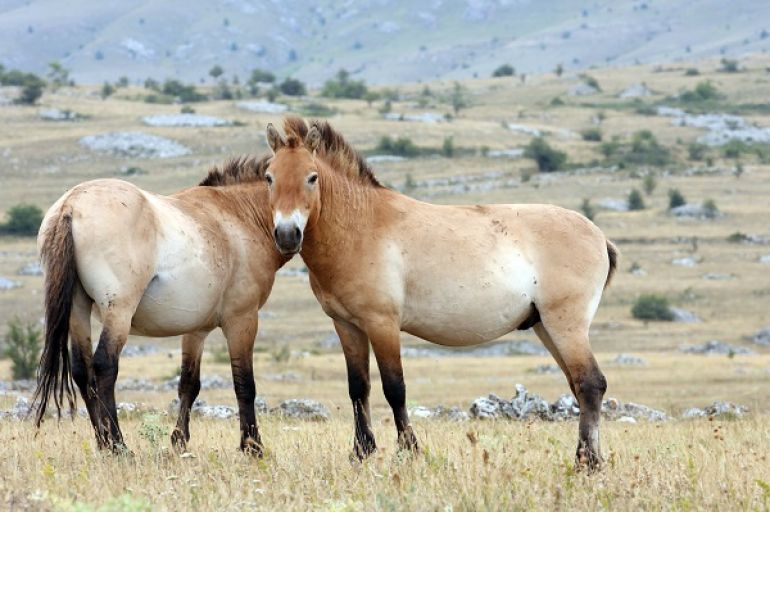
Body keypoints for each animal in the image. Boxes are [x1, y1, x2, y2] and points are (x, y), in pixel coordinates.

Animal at [34, 159, 287, 455]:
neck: (239, 214)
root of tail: (70, 206)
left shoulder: (196, 329)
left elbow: (189, 383)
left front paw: (179, 441)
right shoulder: (242, 320)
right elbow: (244, 384)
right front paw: (252, 446)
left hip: (77, 310)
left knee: (82, 371)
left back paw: (103, 443)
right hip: (119, 312)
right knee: (104, 367)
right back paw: (119, 447)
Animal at [261, 117, 618, 469]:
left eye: (312, 177)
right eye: (269, 177)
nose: (288, 235)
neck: (360, 227)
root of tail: (599, 236)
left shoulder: (382, 324)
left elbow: (394, 388)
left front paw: (410, 452)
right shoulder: (347, 325)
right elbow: (358, 388)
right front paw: (361, 453)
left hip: (566, 325)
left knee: (590, 383)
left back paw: (587, 462)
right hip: (546, 326)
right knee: (580, 384)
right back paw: (591, 458)